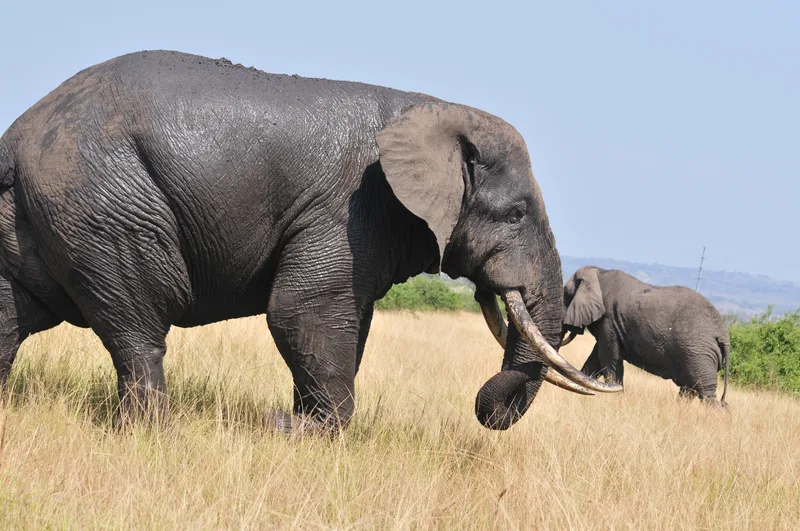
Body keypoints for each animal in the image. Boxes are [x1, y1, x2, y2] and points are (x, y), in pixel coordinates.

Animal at [0, 50, 620, 433]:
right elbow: (303, 312)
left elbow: (344, 325)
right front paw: (295, 429)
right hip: (103, 202)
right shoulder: (347, 208)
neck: (431, 109)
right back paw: (156, 435)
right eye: (515, 213)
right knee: (140, 329)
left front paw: (300, 424)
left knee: (13, 318)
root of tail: (15, 136)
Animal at [562, 266, 729, 405]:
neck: (599, 272)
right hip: (699, 355)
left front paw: (615, 398)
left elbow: (609, 360)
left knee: (704, 391)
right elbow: (595, 360)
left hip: (699, 353)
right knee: (690, 389)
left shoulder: (609, 320)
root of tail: (723, 334)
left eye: (567, 295)